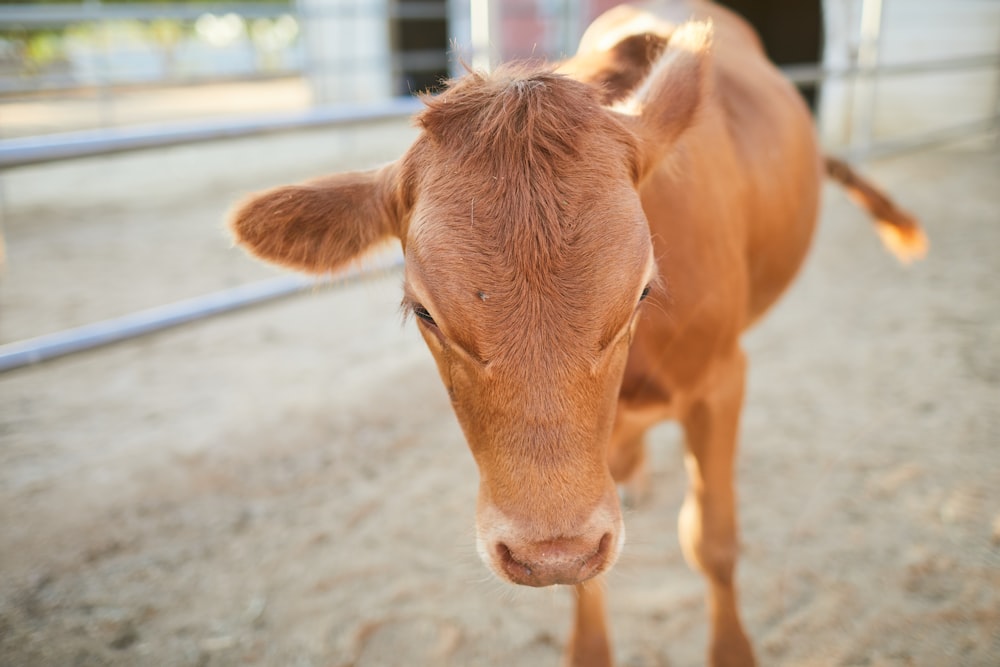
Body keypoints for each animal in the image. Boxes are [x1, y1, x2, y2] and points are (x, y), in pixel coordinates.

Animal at [227, 1, 920, 667]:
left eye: (642, 291)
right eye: (423, 311)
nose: (549, 552)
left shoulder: (724, 380)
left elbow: (712, 541)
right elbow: (589, 577)